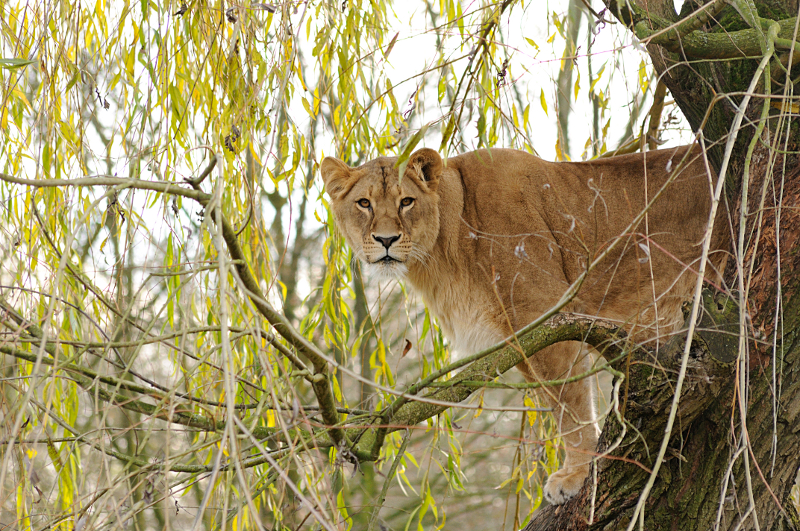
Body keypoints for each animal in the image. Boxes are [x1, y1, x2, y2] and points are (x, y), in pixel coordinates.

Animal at [320, 145, 728, 504]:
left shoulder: (547, 319)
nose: (386, 239)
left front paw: (577, 475)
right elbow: (557, 402)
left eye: (406, 201)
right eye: (364, 203)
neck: (445, 245)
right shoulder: (520, 340)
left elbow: (570, 408)